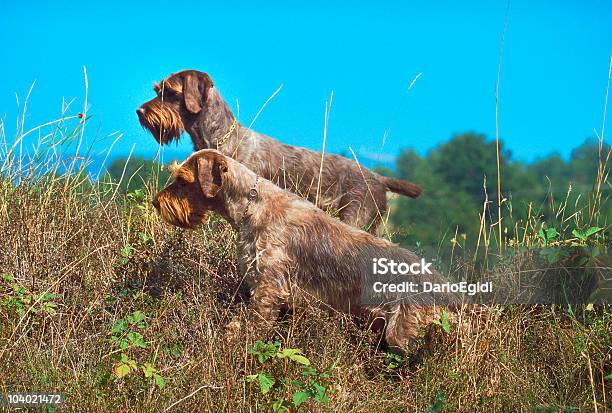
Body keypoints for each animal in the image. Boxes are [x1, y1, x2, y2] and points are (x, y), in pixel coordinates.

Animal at [139, 69, 424, 233]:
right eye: (157, 90)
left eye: (171, 92)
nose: (139, 112)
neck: (218, 137)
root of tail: (379, 178)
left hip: (355, 216)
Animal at [154, 150, 460, 352]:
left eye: (183, 179)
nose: (157, 202)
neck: (251, 206)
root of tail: (446, 287)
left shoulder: (269, 288)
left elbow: (253, 325)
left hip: (401, 333)